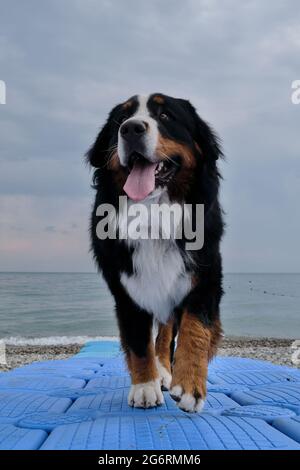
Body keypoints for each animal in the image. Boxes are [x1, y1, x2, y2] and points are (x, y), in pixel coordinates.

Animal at [86, 94, 223, 412]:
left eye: (165, 115)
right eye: (120, 120)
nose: (131, 129)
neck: (154, 215)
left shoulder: (206, 275)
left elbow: (196, 329)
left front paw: (189, 385)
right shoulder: (126, 287)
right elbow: (138, 342)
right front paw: (145, 386)